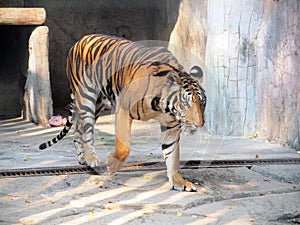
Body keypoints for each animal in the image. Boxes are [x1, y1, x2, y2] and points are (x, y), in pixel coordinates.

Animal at [38, 33, 205, 192]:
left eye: (202, 103)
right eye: (185, 103)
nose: (199, 124)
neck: (162, 106)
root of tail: (79, 41)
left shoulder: (171, 125)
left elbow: (172, 153)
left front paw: (178, 182)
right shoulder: (123, 109)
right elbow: (124, 147)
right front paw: (111, 164)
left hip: (97, 105)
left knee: (78, 128)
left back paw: (83, 158)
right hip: (86, 98)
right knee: (86, 131)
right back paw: (91, 158)